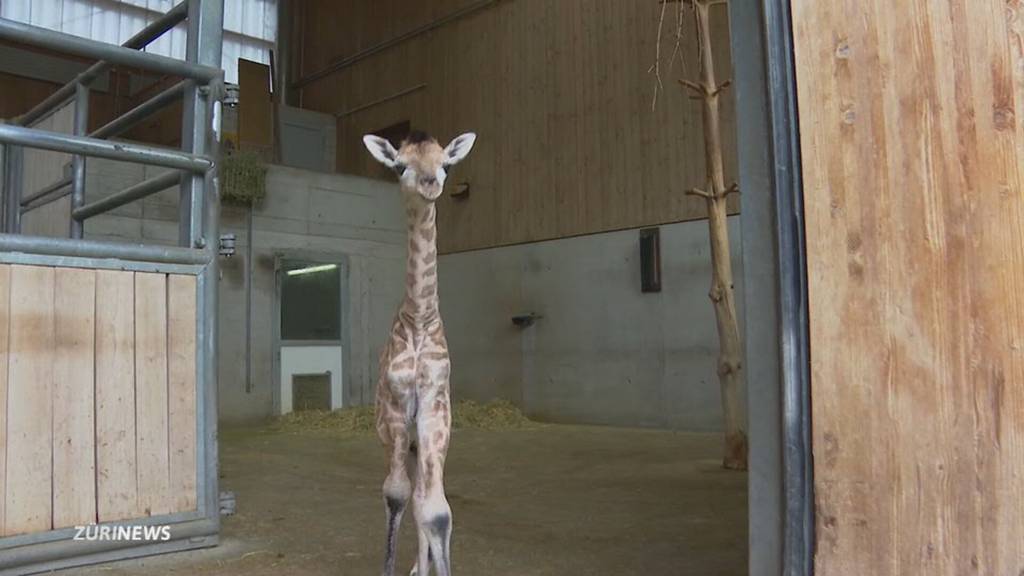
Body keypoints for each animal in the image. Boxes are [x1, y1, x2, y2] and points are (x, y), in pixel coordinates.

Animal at [362, 130, 477, 573]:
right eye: (399, 166)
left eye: (445, 164)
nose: (430, 184)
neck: (420, 317)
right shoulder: (396, 405)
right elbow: (396, 493)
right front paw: (392, 569)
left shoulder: (434, 405)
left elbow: (436, 509)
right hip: (389, 425)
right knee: (406, 489)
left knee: (423, 495)